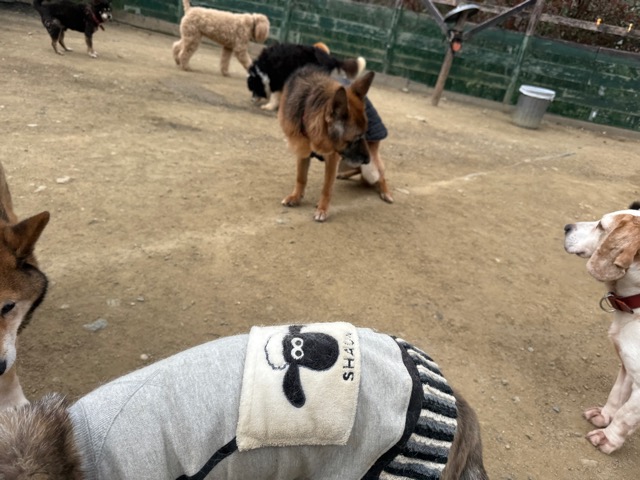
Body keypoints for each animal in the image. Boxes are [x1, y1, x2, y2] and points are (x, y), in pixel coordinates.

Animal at [564, 201, 640, 453]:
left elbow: (626, 414)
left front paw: (608, 438)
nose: (567, 227)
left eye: (601, 226)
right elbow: (616, 395)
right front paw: (604, 416)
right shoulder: (627, 366)